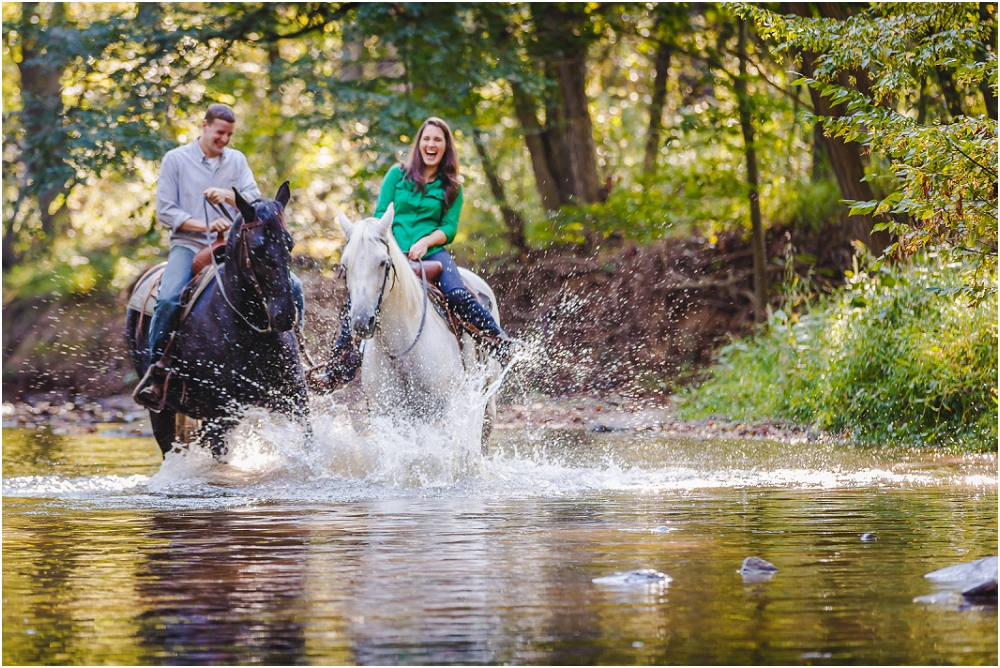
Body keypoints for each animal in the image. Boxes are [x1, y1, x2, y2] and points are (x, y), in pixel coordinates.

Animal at [127, 180, 310, 456]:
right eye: (256, 249)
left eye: (290, 244)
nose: (285, 315)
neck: (249, 330)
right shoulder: (220, 415)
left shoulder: (294, 398)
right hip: (161, 411)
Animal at [340, 206, 504, 452]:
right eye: (344, 265)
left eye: (383, 263)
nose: (361, 322)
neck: (402, 351)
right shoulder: (383, 413)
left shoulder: (449, 408)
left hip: (485, 395)